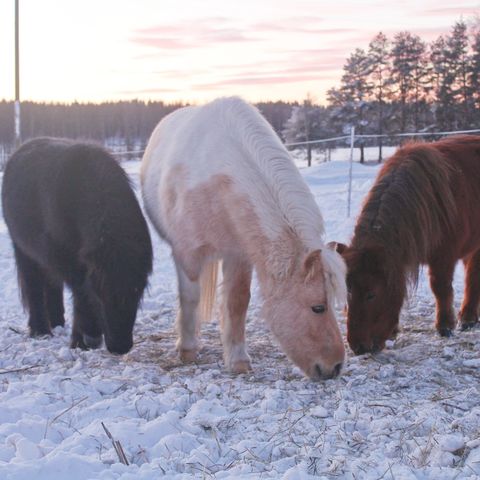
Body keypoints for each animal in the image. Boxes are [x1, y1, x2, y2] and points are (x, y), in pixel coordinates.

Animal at [1, 137, 152, 354]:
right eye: (99, 294)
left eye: (138, 291)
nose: (120, 347)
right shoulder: (69, 262)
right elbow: (80, 290)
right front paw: (81, 341)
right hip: (23, 250)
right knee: (34, 286)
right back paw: (41, 331)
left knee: (52, 285)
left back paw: (57, 322)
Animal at [141, 97, 346, 380]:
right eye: (318, 307)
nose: (335, 367)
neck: (216, 179)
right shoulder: (187, 254)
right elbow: (190, 298)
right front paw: (187, 350)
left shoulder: (237, 255)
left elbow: (237, 303)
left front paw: (237, 360)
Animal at [336, 137, 480, 354]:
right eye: (348, 291)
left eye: (371, 294)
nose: (358, 347)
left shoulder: (443, 257)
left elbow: (441, 288)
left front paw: (445, 326)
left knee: (472, 277)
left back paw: (468, 319)